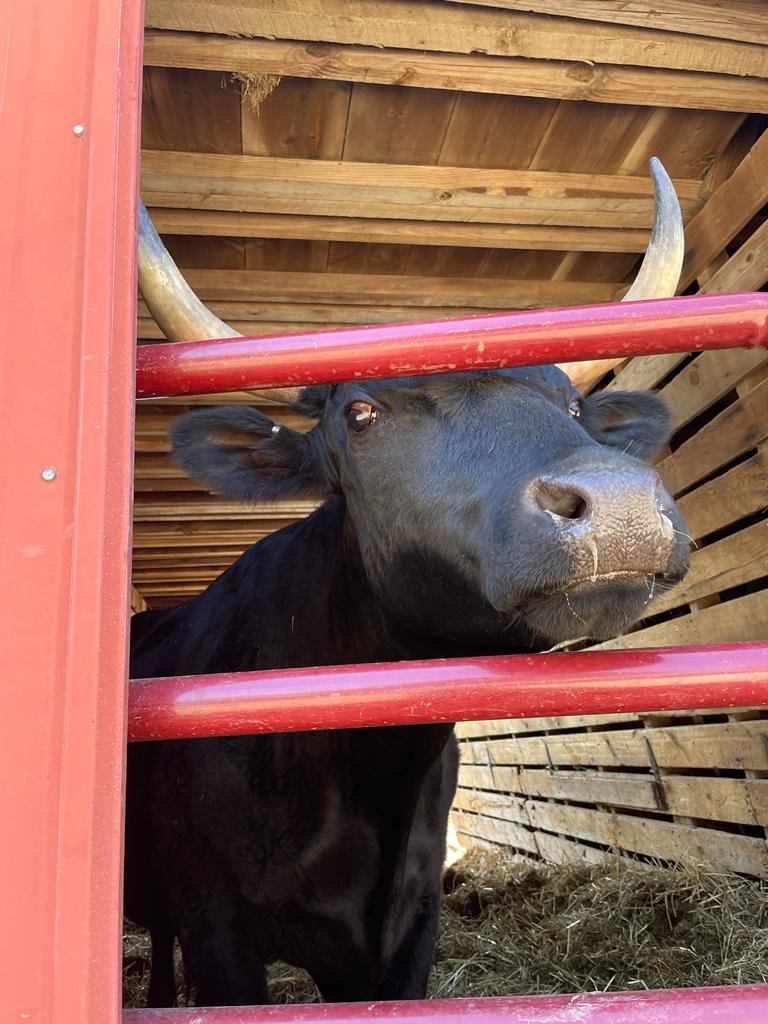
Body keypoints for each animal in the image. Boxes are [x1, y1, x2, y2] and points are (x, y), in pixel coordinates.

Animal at [127, 159, 689, 1007]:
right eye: (360, 412)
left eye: (571, 403)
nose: (622, 507)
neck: (369, 762)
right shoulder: (216, 926)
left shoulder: (409, 928)